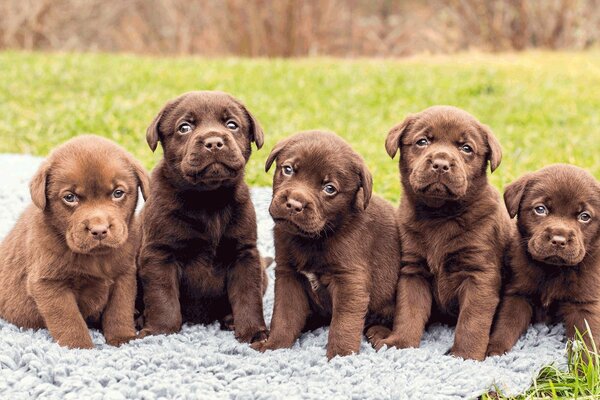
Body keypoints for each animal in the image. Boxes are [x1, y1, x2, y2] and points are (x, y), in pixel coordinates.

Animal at [0, 136, 149, 348]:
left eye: (118, 193)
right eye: (70, 197)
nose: (99, 230)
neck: (96, 258)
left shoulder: (124, 275)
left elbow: (120, 309)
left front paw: (122, 338)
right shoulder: (49, 283)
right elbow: (68, 318)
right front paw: (80, 346)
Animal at [137, 91, 268, 344]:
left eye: (232, 124)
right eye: (184, 127)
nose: (214, 142)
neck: (208, 200)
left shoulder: (244, 254)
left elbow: (249, 297)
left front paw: (254, 333)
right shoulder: (160, 253)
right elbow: (163, 298)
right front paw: (159, 331)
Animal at [251, 130, 400, 360]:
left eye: (329, 189)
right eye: (288, 169)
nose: (294, 204)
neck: (313, 238)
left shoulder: (349, 281)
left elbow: (343, 324)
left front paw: (340, 357)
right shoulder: (288, 275)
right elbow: (284, 316)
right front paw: (274, 346)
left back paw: (378, 333)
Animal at [370, 105, 510, 360]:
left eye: (466, 148)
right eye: (422, 141)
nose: (441, 163)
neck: (440, 216)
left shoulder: (479, 274)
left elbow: (472, 321)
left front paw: (465, 356)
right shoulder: (413, 270)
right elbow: (409, 311)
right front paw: (400, 344)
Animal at [488, 165, 600, 356]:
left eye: (584, 216)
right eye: (540, 209)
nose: (559, 240)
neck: (553, 270)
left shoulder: (584, 304)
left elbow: (587, 341)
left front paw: (586, 364)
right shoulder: (517, 294)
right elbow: (506, 325)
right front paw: (494, 351)